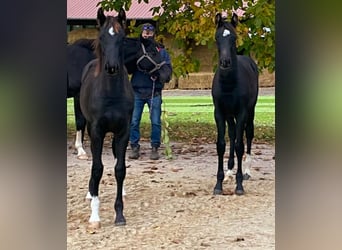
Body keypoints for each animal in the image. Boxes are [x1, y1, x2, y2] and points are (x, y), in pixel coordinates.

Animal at [212, 13, 258, 195]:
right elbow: (221, 145)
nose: (225, 62)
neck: (229, 84)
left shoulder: (242, 113)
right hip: (229, 116)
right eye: (217, 38)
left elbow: (240, 145)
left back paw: (247, 172)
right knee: (232, 134)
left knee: (248, 134)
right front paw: (218, 184)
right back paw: (229, 172)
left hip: (250, 112)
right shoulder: (219, 113)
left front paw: (239, 185)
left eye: (234, 37)